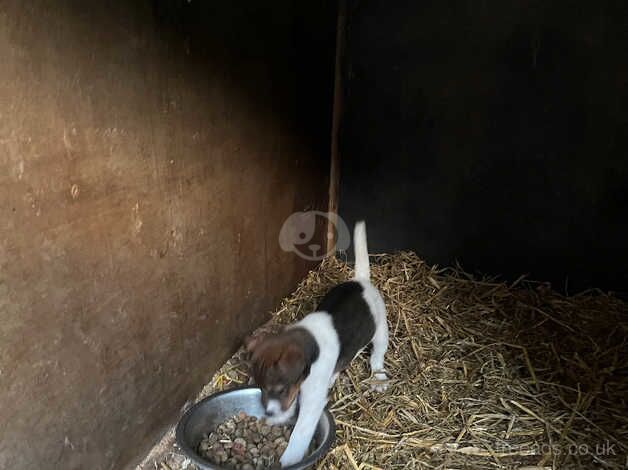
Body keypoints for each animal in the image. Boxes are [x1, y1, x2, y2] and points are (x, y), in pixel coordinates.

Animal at [245, 221, 388, 466]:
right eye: (260, 387)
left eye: (279, 389)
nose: (269, 414)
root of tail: (362, 281)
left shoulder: (311, 401)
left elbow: (300, 432)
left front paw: (289, 460)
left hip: (381, 331)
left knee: (377, 355)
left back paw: (378, 376)